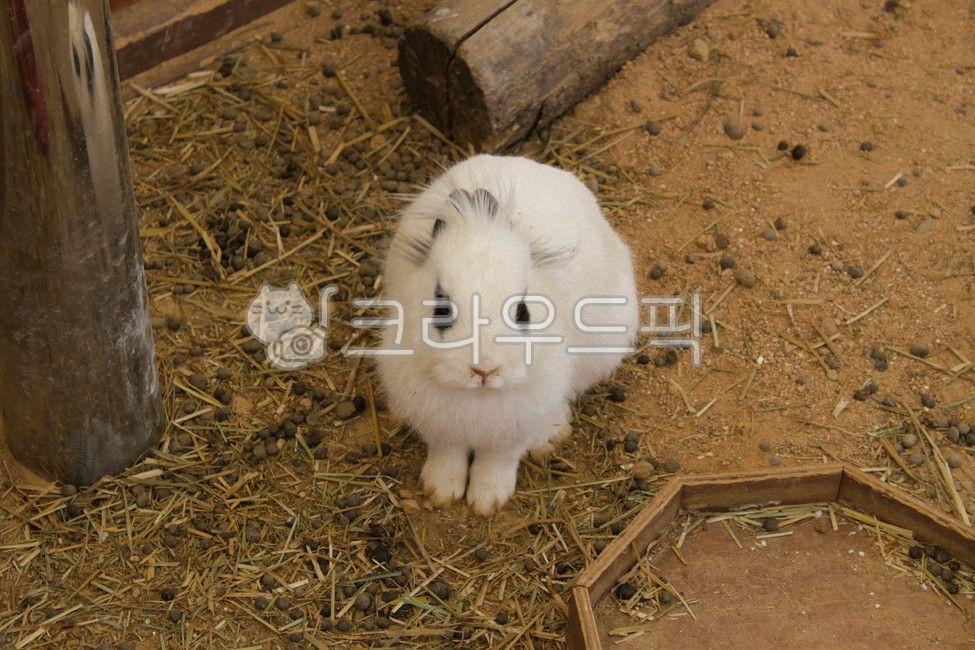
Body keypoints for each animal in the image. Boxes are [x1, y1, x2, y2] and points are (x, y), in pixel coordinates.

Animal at [376, 154, 639, 515]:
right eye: (441, 310)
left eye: (523, 312)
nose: (484, 370)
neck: (479, 398)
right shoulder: (442, 429)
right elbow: (447, 453)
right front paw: (441, 491)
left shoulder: (511, 434)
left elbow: (497, 462)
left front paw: (487, 501)